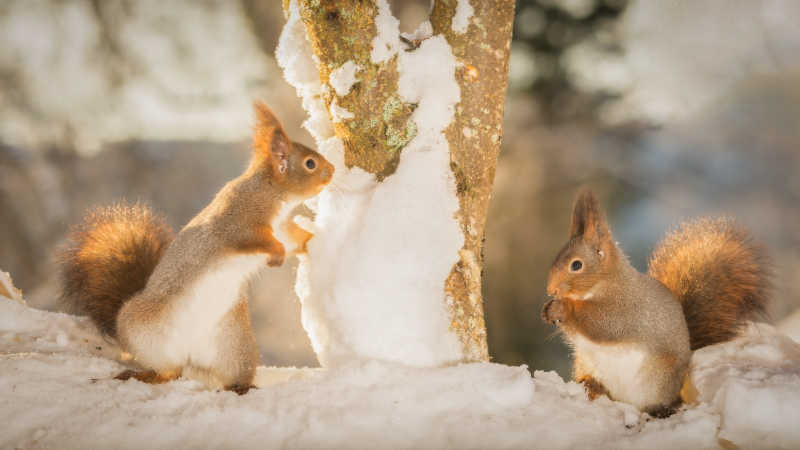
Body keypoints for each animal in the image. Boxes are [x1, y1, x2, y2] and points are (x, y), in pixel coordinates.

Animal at [60, 102, 332, 394]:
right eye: (310, 163)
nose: (333, 171)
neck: (269, 190)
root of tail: (190, 355)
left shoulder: (281, 228)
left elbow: (294, 239)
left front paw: (312, 241)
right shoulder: (239, 221)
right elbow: (256, 239)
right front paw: (277, 255)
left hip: (235, 346)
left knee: (213, 374)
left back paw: (240, 387)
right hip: (144, 333)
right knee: (168, 371)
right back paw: (144, 375)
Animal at [540, 188, 772, 416]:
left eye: (576, 265)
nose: (550, 290)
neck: (605, 282)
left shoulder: (625, 308)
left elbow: (603, 324)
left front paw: (562, 307)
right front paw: (547, 310)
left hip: (657, 378)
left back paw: (660, 409)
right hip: (585, 363)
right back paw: (591, 386)